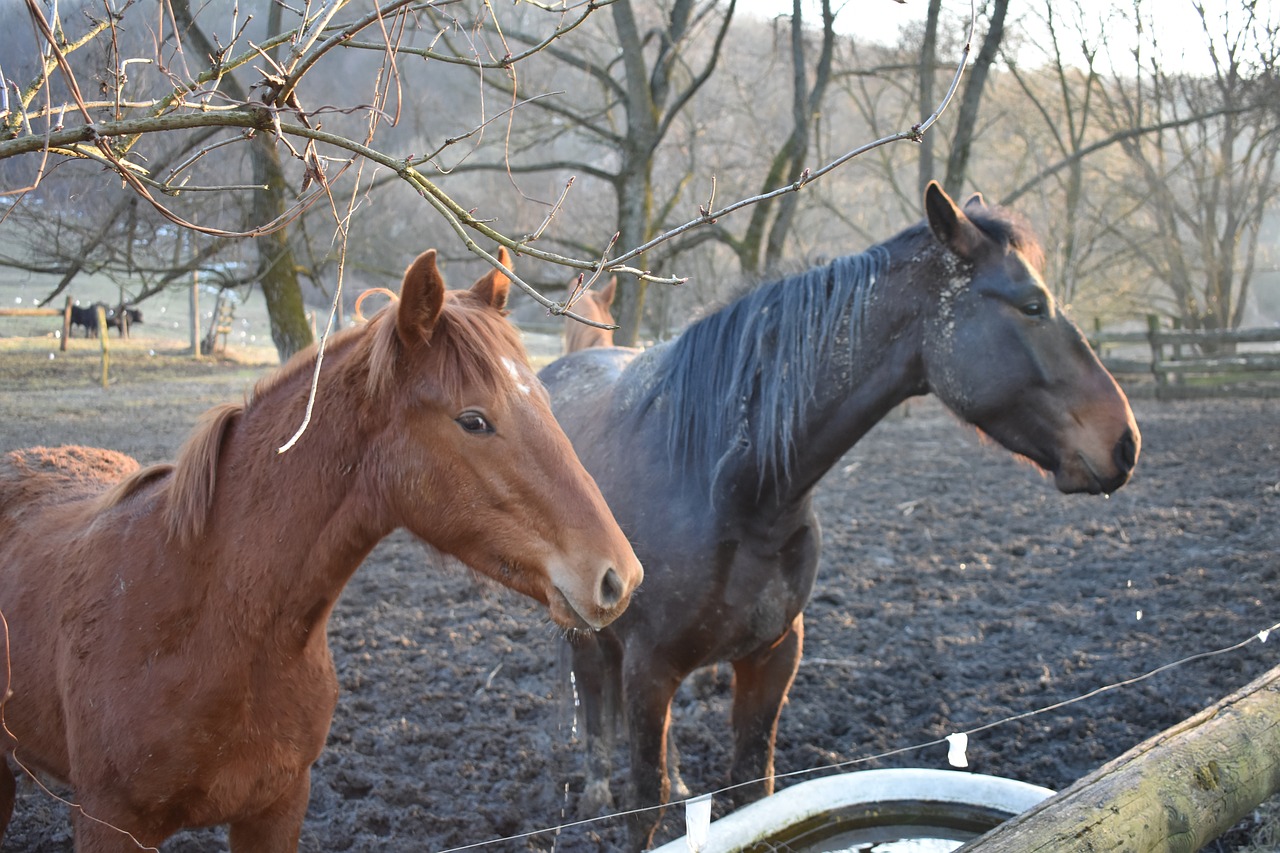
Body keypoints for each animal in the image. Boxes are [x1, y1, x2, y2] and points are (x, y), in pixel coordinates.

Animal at [537, 180, 1141, 845]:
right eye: (1033, 305)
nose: (1124, 442)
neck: (731, 494)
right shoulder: (651, 669)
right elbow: (645, 805)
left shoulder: (771, 657)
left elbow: (753, 791)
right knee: (591, 684)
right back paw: (596, 787)